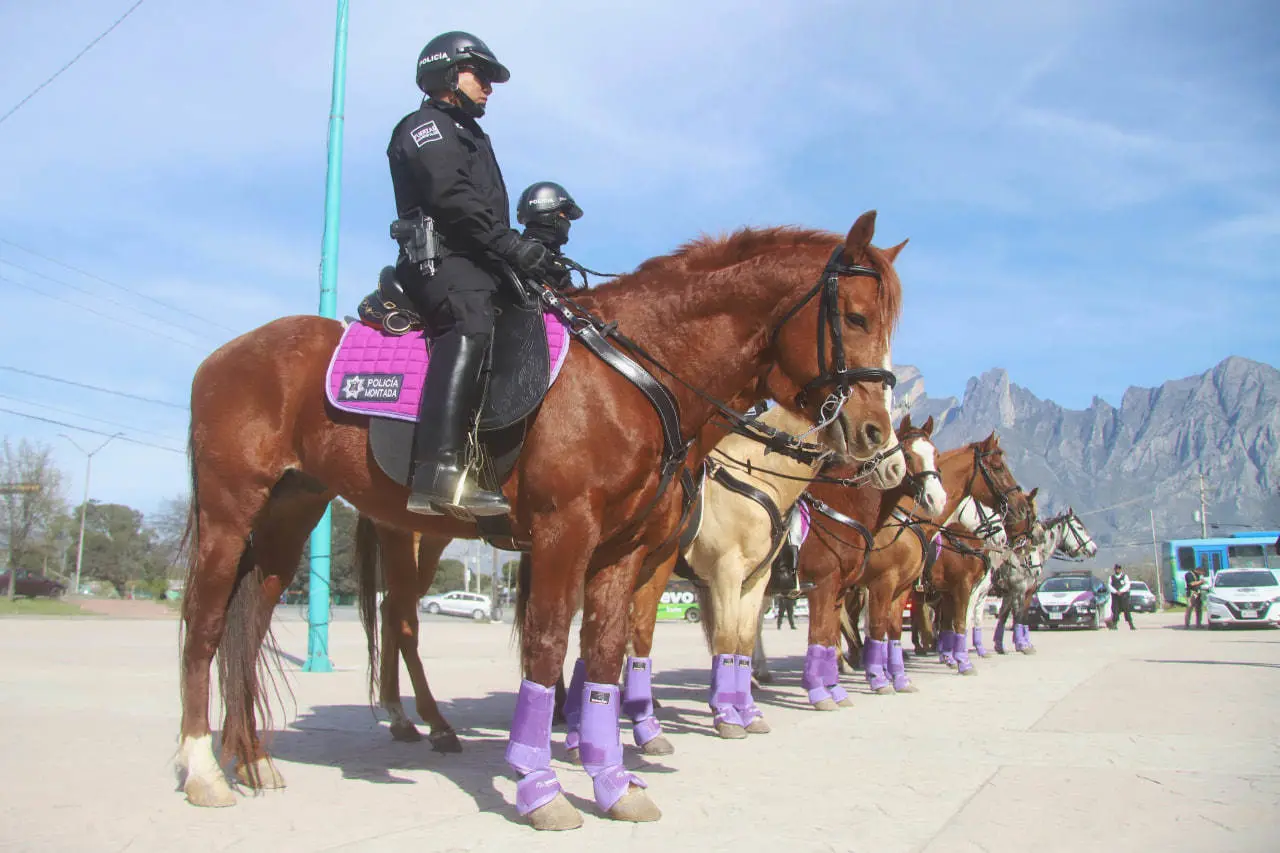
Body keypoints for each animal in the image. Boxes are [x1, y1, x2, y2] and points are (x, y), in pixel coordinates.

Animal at [175, 212, 906, 829]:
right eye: (856, 315)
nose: (877, 434)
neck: (630, 374)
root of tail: (224, 355)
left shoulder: (623, 551)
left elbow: (606, 654)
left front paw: (612, 780)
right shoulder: (566, 534)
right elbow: (549, 644)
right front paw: (538, 786)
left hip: (290, 516)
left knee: (251, 623)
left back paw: (253, 758)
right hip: (234, 514)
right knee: (211, 625)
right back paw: (206, 766)